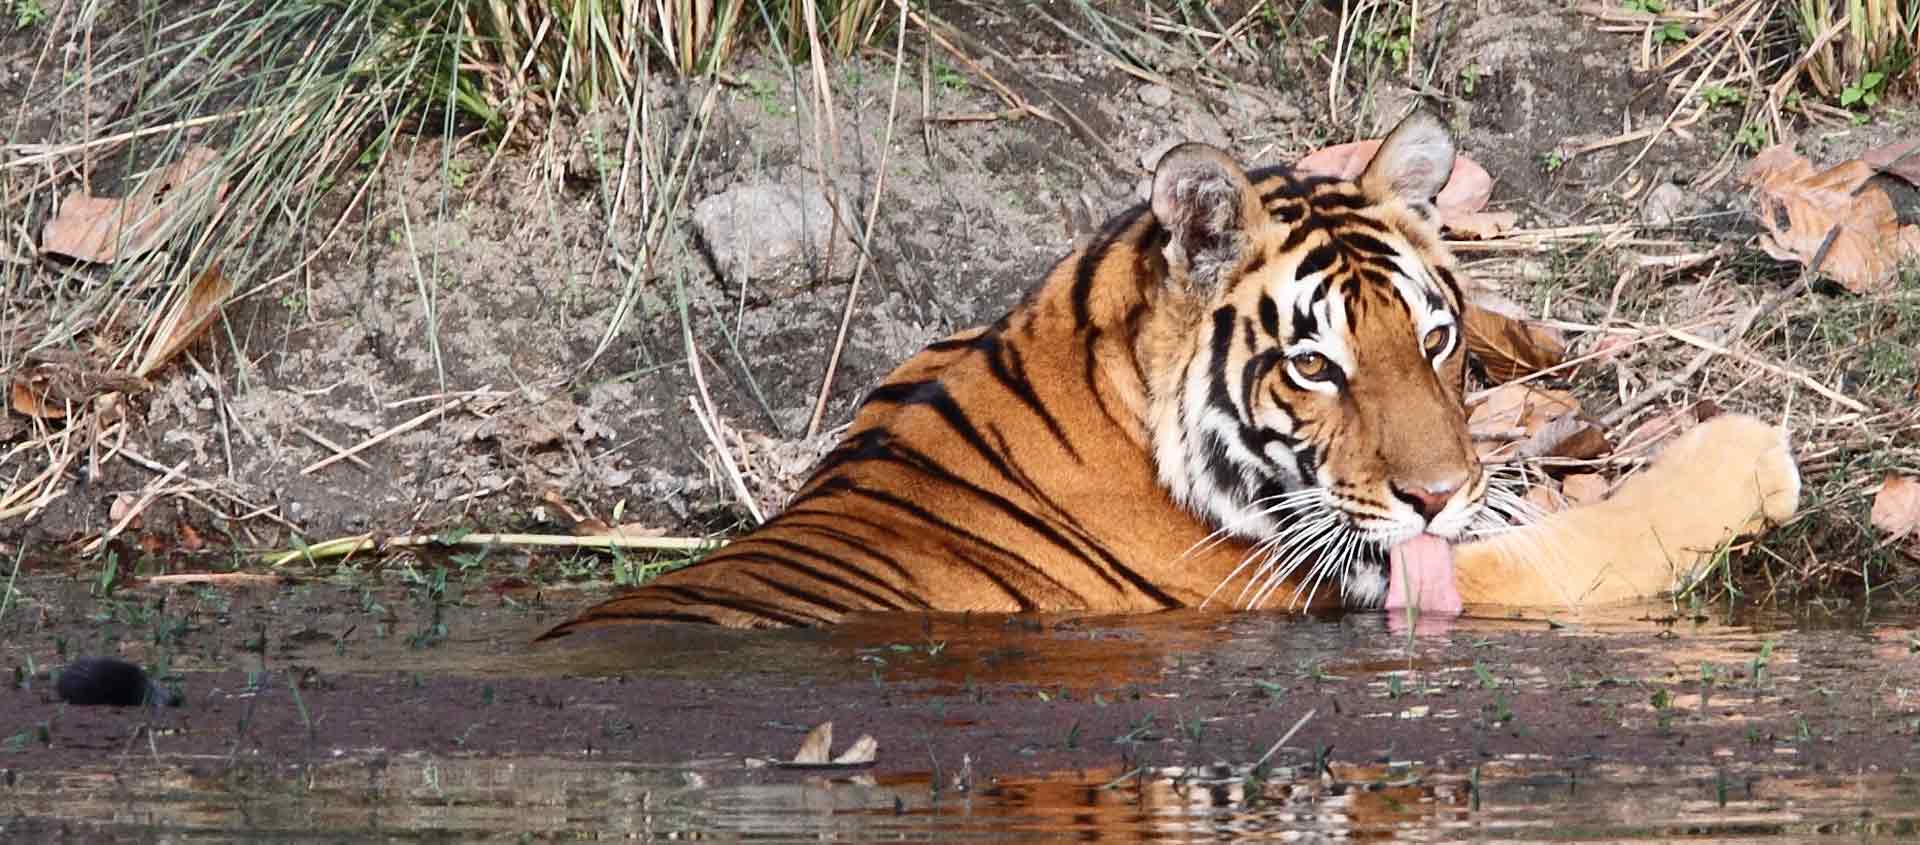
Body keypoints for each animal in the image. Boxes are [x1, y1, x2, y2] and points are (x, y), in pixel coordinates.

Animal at [537, 110, 1797, 633]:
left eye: (1430, 341)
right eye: (1314, 365)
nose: (1441, 495)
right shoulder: (1379, 573)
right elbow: (1610, 532)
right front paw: (1751, 453)